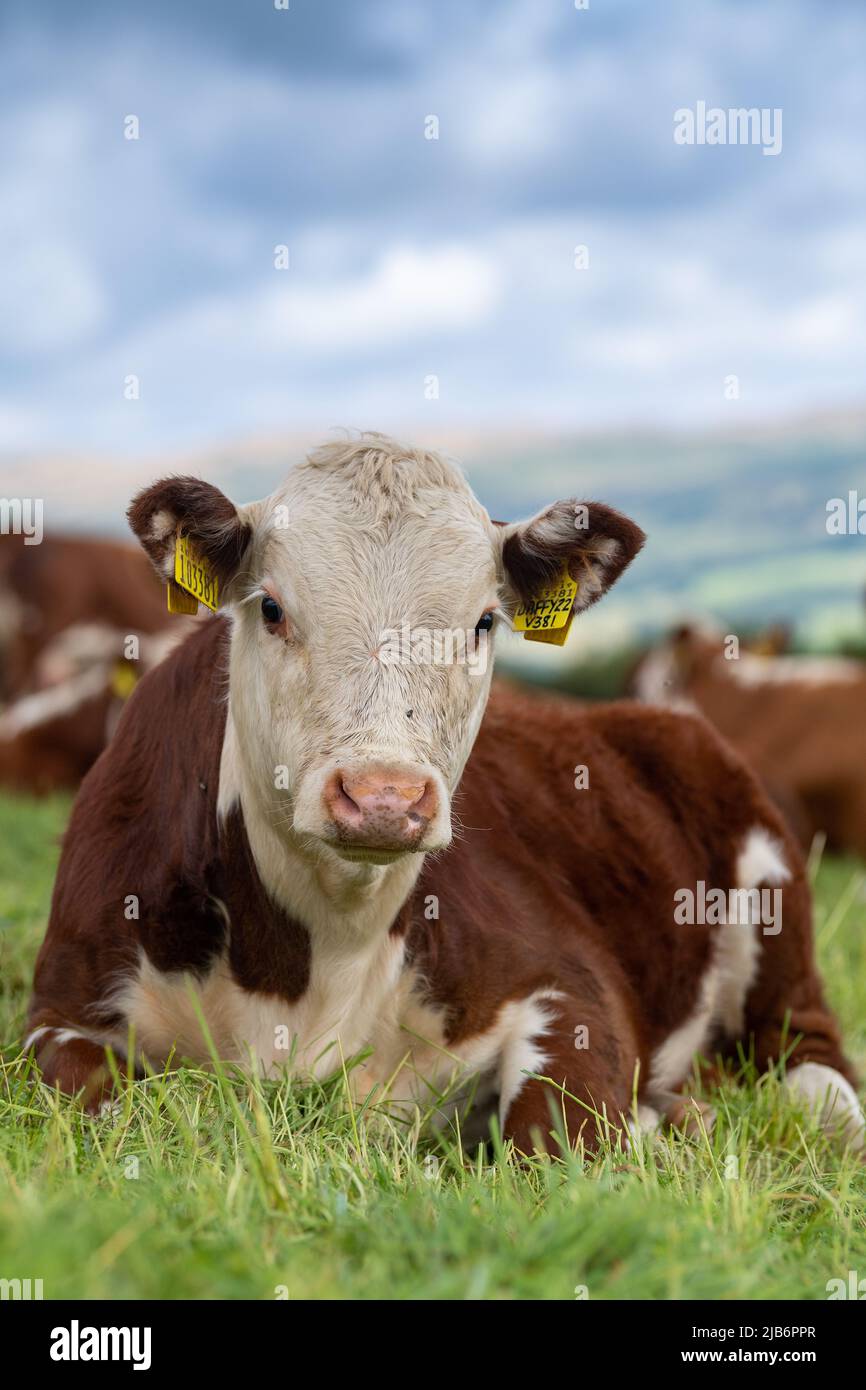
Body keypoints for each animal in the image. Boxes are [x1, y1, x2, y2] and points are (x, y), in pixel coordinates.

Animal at [23, 439, 861, 1156]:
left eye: (484, 622)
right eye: (271, 608)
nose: (384, 796)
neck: (318, 956)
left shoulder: (568, 981)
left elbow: (556, 1138)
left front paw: (652, 1123)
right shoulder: (59, 1014)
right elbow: (105, 1108)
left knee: (813, 1062)